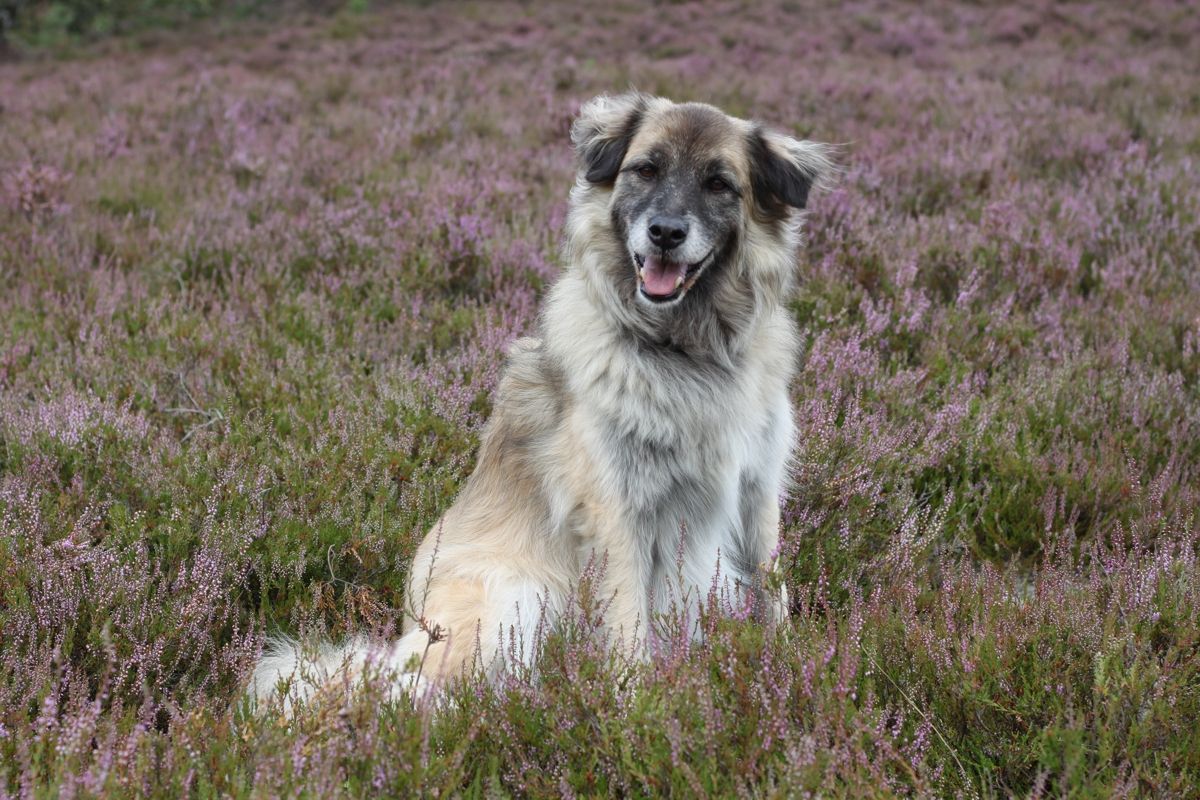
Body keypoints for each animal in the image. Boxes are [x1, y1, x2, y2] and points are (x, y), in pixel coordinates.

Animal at [250, 90, 835, 710]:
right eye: (646, 169)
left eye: (720, 183)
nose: (665, 233)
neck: (684, 349)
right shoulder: (614, 512)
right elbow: (629, 623)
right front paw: (639, 707)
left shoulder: (757, 492)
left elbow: (774, 591)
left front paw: (792, 666)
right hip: (515, 593)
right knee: (420, 686)